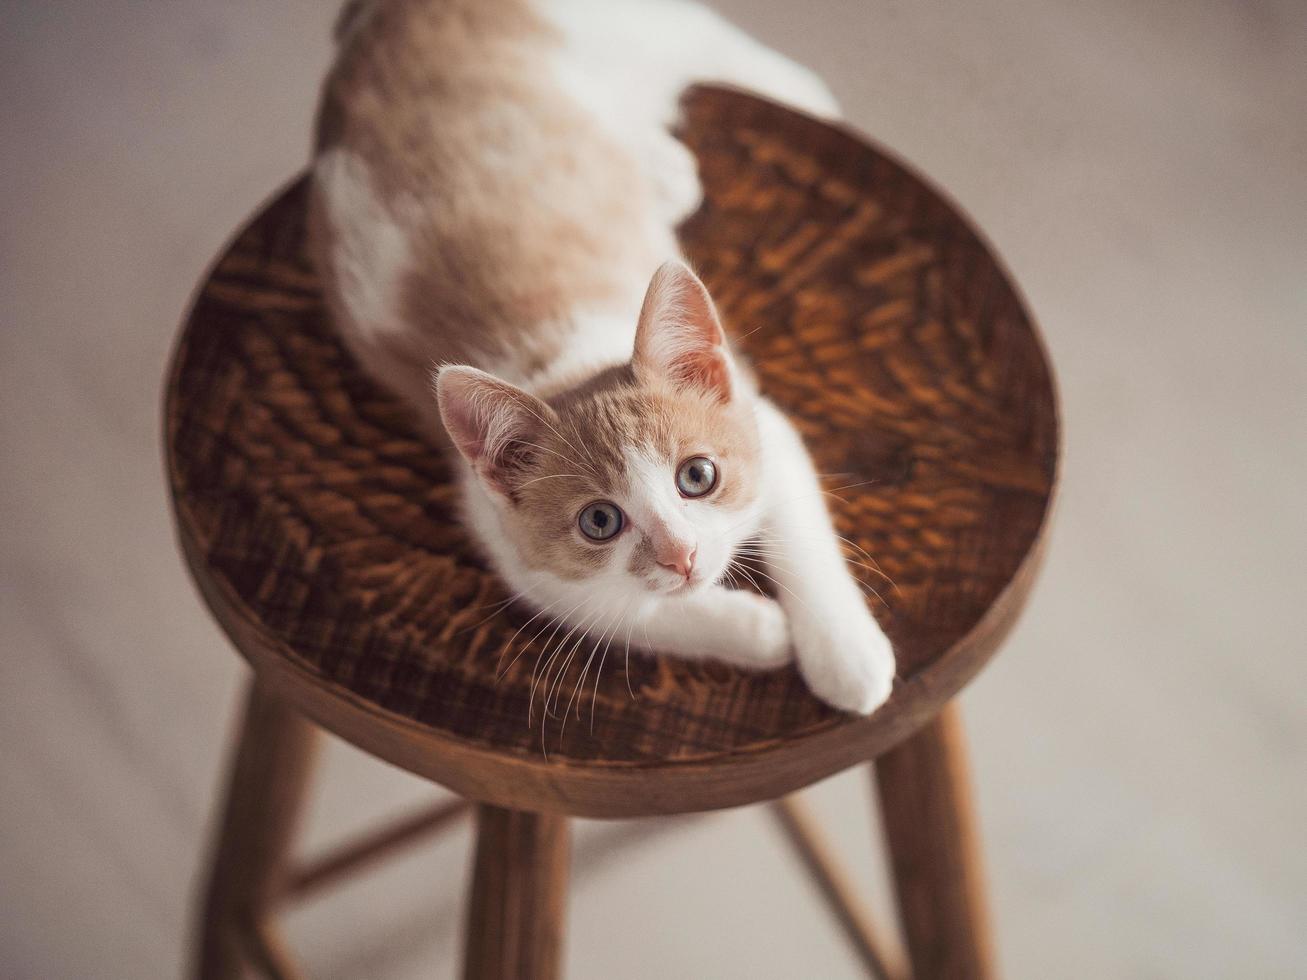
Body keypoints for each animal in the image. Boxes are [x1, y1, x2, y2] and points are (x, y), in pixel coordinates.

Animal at [311, 0, 893, 716]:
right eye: (599, 521)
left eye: (698, 476)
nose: (680, 556)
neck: (565, 363)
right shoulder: (508, 541)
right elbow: (613, 610)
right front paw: (753, 630)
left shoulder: (764, 423)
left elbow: (800, 533)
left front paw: (846, 655)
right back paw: (663, 168)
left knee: (716, 43)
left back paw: (802, 100)